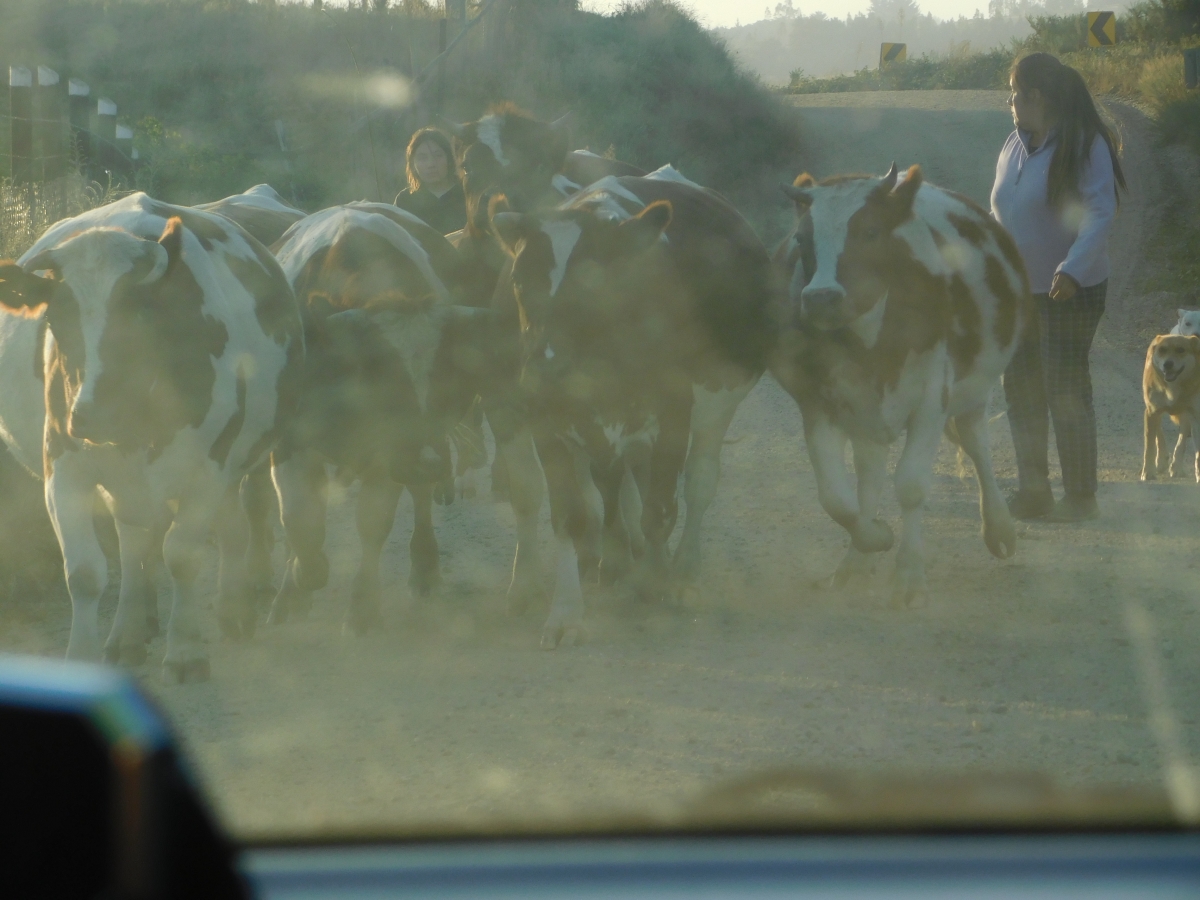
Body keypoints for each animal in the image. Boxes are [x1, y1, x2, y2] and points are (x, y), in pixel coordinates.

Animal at [0, 192, 304, 681]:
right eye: (57, 321)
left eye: (138, 316)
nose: (93, 414)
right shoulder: (63, 470)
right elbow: (85, 573)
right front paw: (83, 657)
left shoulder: (208, 469)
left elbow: (181, 555)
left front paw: (184, 650)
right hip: (125, 483)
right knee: (133, 546)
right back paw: (127, 634)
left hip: (234, 468)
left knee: (233, 531)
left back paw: (233, 610)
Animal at [268, 201, 492, 638]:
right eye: (383, 383)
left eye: (448, 380)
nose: (429, 462)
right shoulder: (290, 442)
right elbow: (299, 519)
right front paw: (298, 582)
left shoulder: (388, 454)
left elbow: (373, 522)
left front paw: (362, 608)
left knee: (419, 500)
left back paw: (424, 567)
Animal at [487, 168, 777, 648]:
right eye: (519, 285)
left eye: (595, 287)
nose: (543, 375)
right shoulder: (549, 424)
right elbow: (569, 515)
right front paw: (566, 612)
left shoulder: (674, 417)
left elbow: (661, 510)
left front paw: (654, 583)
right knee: (603, 484)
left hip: (716, 407)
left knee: (698, 484)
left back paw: (682, 572)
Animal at [772, 166, 1036, 609]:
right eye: (802, 239)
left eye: (871, 231)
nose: (821, 297)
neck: (871, 341)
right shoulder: (819, 401)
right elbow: (836, 497)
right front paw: (873, 537)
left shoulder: (931, 398)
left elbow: (911, 486)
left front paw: (909, 575)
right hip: (866, 414)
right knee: (870, 476)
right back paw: (856, 563)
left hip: (975, 389)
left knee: (975, 443)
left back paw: (999, 528)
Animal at [1142, 333, 1200, 482]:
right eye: (1162, 350)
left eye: (1181, 350)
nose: (1167, 364)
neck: (1173, 387)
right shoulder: (1152, 411)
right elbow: (1149, 446)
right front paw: (1148, 472)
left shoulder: (1195, 415)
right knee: (1158, 431)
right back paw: (1162, 460)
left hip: (1186, 415)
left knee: (1182, 439)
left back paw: (1176, 467)